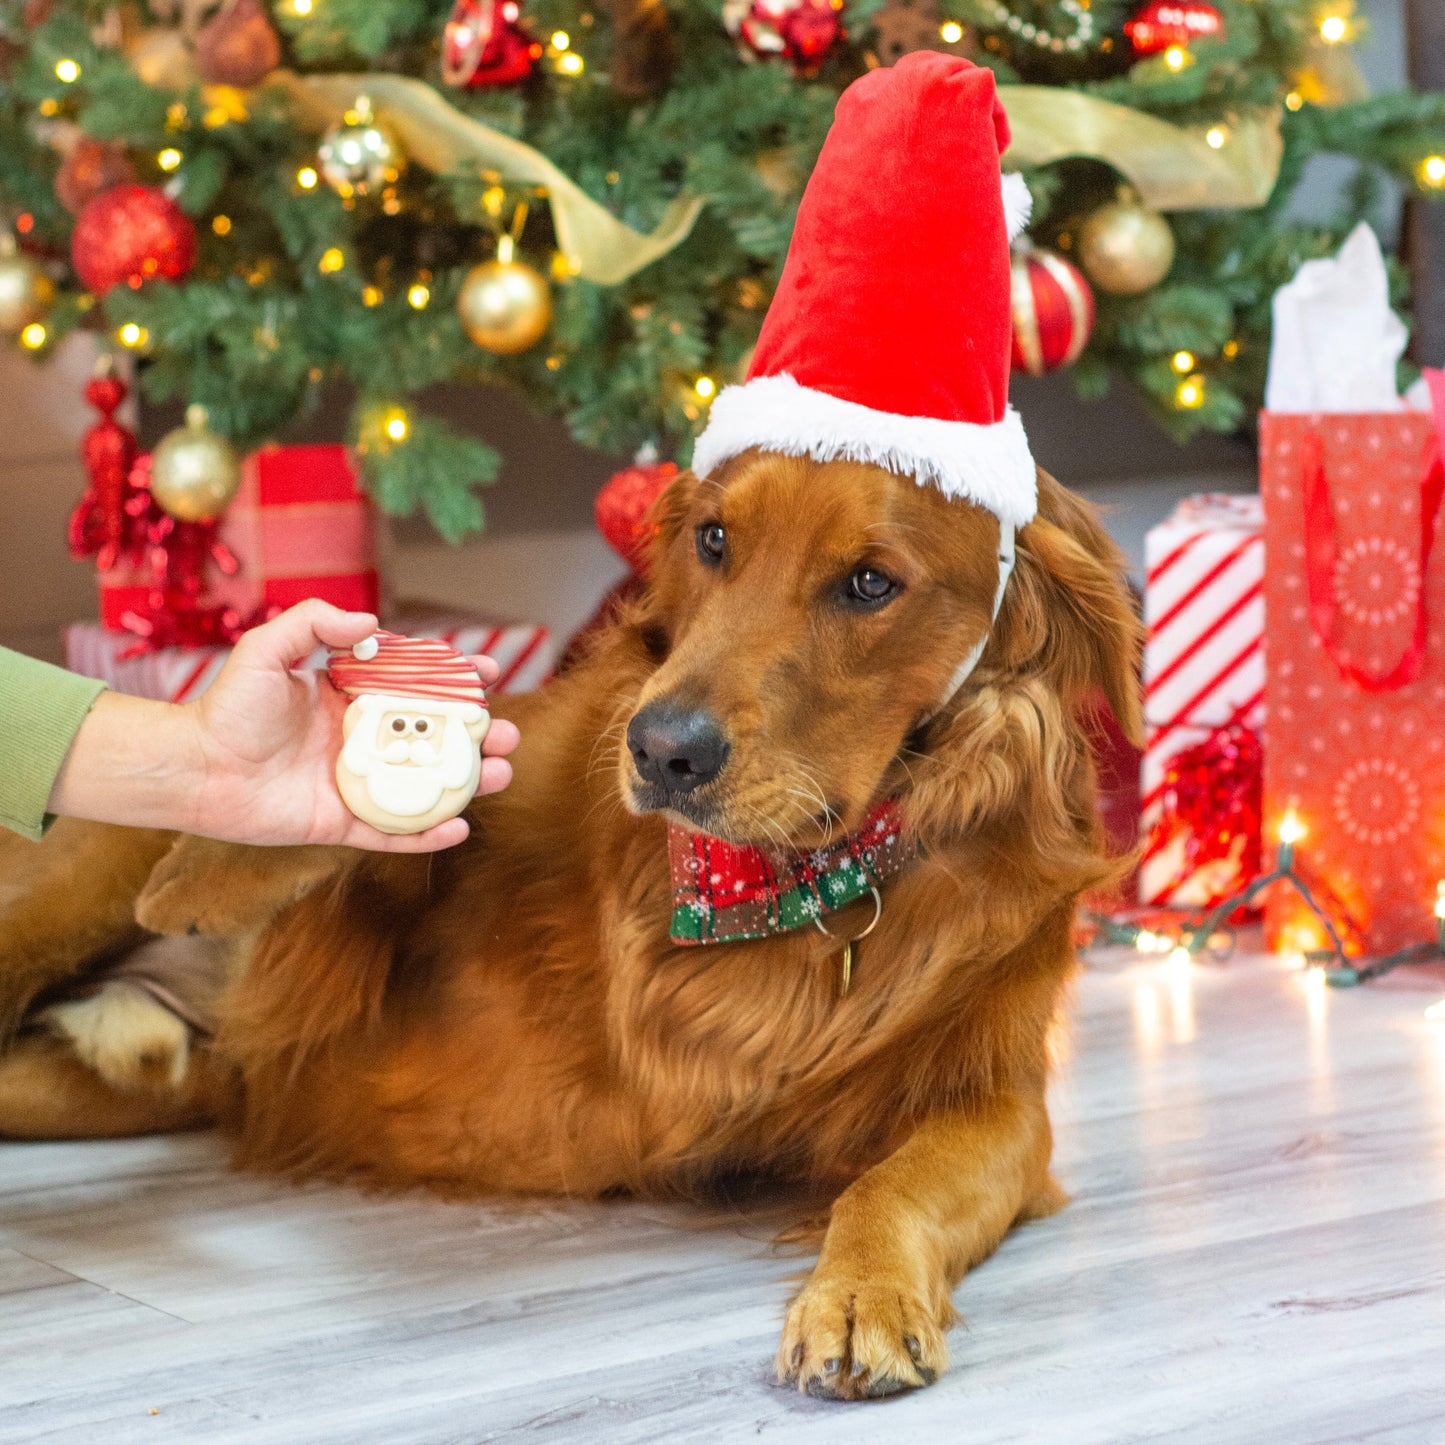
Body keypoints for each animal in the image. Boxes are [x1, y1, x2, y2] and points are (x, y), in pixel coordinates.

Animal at [0, 453, 1138, 1398]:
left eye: (869, 583)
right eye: (712, 539)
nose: (661, 749)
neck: (762, 886)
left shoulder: (997, 1106)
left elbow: (892, 1184)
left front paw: (858, 1293)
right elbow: (394, 829)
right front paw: (230, 843)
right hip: (63, 897)